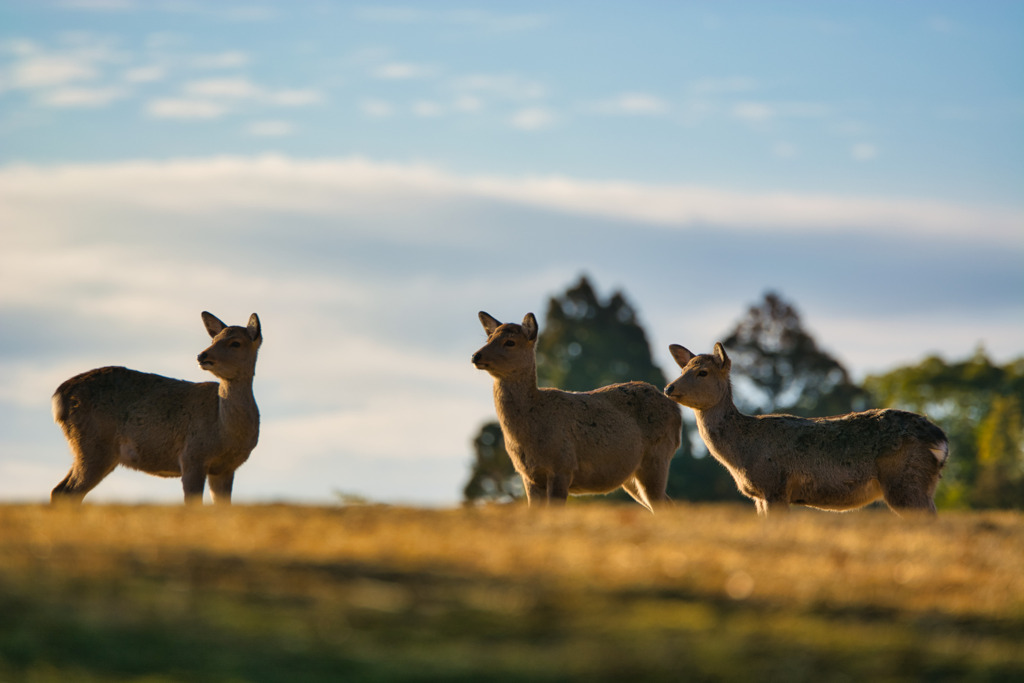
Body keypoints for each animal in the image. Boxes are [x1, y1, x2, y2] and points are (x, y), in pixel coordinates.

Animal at [51, 313, 262, 505]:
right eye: (214, 340)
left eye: (236, 343)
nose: (202, 355)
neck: (224, 431)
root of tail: (60, 395)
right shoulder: (192, 456)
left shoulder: (225, 468)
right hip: (93, 444)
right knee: (66, 491)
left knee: (62, 491)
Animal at [468, 313, 679, 509]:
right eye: (488, 339)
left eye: (510, 342)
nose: (475, 356)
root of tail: (676, 409)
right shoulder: (529, 476)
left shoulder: (562, 466)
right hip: (630, 476)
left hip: (657, 456)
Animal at [667, 344, 946, 516]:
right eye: (683, 369)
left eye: (703, 372)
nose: (669, 387)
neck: (741, 452)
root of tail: (940, 440)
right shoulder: (760, 495)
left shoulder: (775, 485)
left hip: (905, 481)